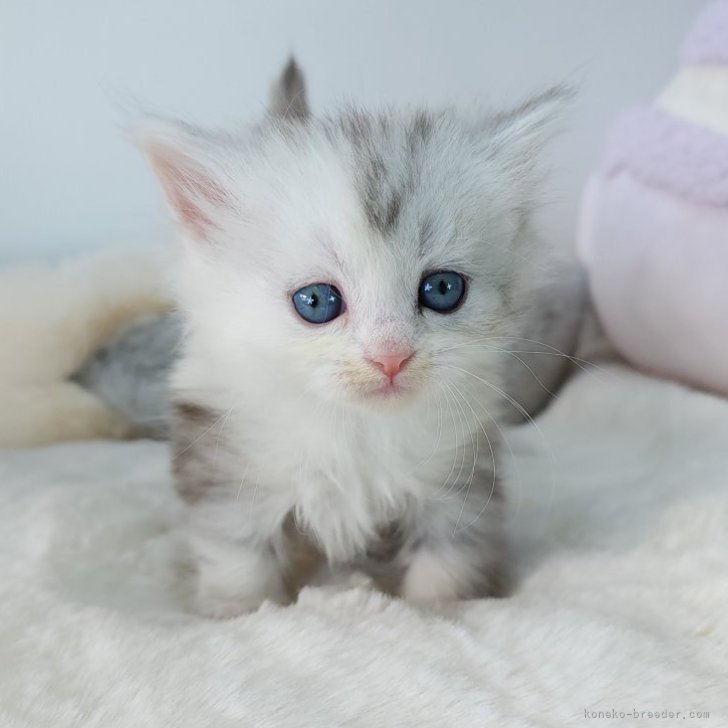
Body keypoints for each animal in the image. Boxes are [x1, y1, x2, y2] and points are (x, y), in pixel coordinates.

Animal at [134, 61, 584, 616]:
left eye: (442, 289)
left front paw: (437, 610)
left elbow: (447, 563)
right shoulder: (226, 464)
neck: (357, 432)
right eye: (316, 302)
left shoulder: (459, 476)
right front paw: (235, 613)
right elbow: (238, 558)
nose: (391, 357)